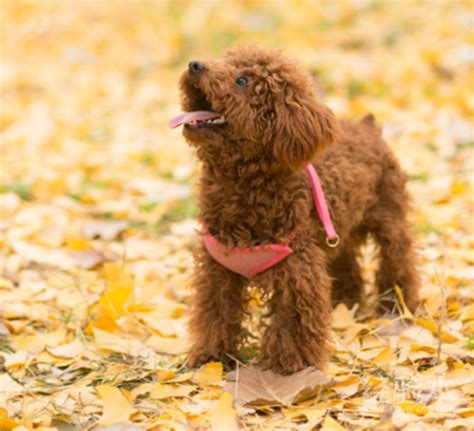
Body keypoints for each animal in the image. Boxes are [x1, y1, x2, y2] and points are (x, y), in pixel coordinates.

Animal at [168, 44, 420, 374]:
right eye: (223, 60)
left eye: (243, 81)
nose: (194, 65)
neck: (244, 185)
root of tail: (368, 127)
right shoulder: (217, 267)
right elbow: (216, 313)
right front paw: (211, 357)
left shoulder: (296, 268)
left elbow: (291, 321)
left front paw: (287, 366)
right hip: (336, 232)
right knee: (345, 262)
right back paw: (344, 302)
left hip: (389, 219)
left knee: (399, 262)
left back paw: (398, 308)